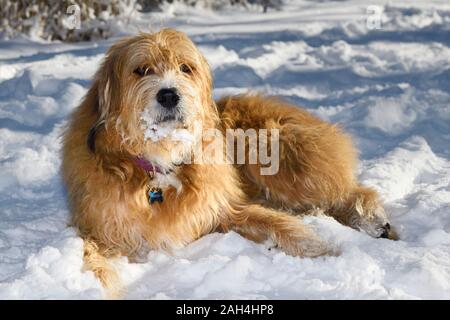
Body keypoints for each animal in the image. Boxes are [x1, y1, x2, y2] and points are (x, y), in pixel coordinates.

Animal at [61, 28, 396, 296]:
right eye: (141, 70)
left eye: (185, 68)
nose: (169, 95)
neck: (158, 166)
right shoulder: (101, 229)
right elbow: (92, 258)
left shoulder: (224, 206)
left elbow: (276, 223)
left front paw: (322, 250)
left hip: (277, 155)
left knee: (350, 190)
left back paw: (370, 219)